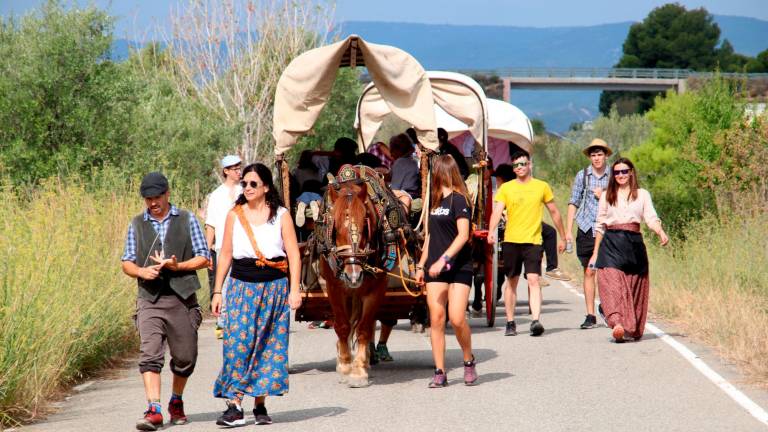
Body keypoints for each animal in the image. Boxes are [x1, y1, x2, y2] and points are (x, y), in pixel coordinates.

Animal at [318, 170, 390, 388]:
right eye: (335, 226)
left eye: (366, 223)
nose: (354, 275)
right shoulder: (334, 287)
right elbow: (342, 325)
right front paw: (344, 365)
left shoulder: (376, 288)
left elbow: (364, 328)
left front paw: (358, 371)